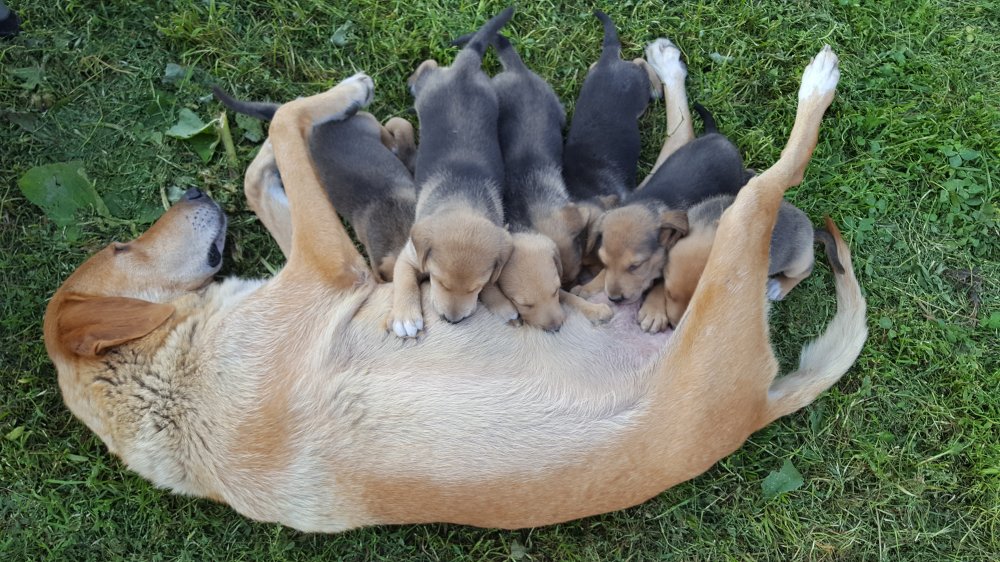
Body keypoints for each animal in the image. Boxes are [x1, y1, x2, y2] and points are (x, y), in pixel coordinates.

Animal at [388, 8, 515, 337]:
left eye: (476, 288)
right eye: (438, 280)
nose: (452, 320)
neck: (462, 199)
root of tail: (464, 69)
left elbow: (495, 282)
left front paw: (502, 304)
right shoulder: (408, 255)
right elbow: (403, 280)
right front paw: (406, 316)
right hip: (429, 88)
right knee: (428, 68)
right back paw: (413, 77)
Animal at [662, 194, 845, 328]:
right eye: (668, 293)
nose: (674, 326)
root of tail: (812, 230)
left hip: (797, 263)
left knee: (805, 271)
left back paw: (779, 287)